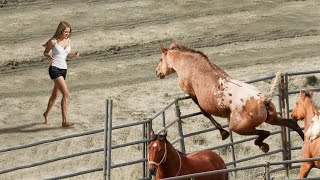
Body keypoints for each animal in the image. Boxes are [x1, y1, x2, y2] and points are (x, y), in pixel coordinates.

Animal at [156, 43, 304, 152]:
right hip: (272, 118)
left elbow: (205, 113)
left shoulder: (191, 93)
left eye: (161, 60)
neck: (188, 63)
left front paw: (223, 133)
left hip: (238, 127)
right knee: (292, 124)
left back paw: (263, 146)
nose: (157, 72)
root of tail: (263, 100)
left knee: (264, 133)